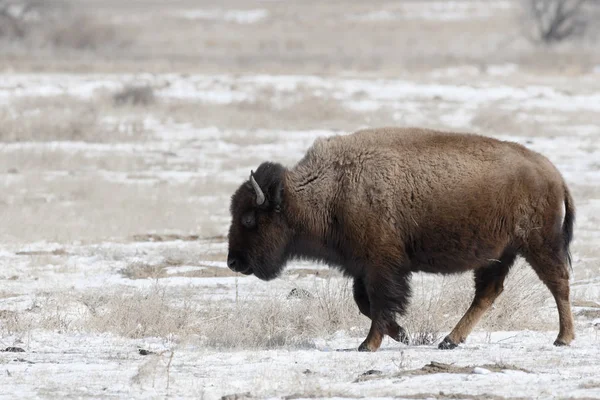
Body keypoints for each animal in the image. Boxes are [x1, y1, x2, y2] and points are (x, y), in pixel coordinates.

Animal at [226, 126, 576, 352]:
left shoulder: (381, 265)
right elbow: (365, 303)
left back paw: (563, 338)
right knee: (488, 293)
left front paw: (368, 345)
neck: (328, 189)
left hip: (538, 244)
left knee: (558, 283)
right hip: (499, 254)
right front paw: (403, 334)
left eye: (248, 220)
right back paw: (449, 341)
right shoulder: (364, 267)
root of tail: (553, 173)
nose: (233, 262)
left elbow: (379, 302)